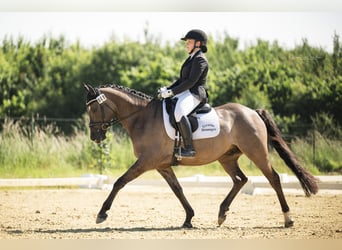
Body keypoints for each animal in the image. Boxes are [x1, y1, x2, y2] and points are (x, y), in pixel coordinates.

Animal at [83, 84, 318, 229]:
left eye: (93, 109)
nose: (95, 137)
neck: (143, 118)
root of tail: (253, 112)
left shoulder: (146, 162)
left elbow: (119, 182)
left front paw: (102, 214)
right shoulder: (162, 165)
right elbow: (177, 189)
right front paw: (189, 218)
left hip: (256, 152)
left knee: (273, 179)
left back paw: (288, 219)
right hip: (227, 158)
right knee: (240, 180)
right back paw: (222, 214)